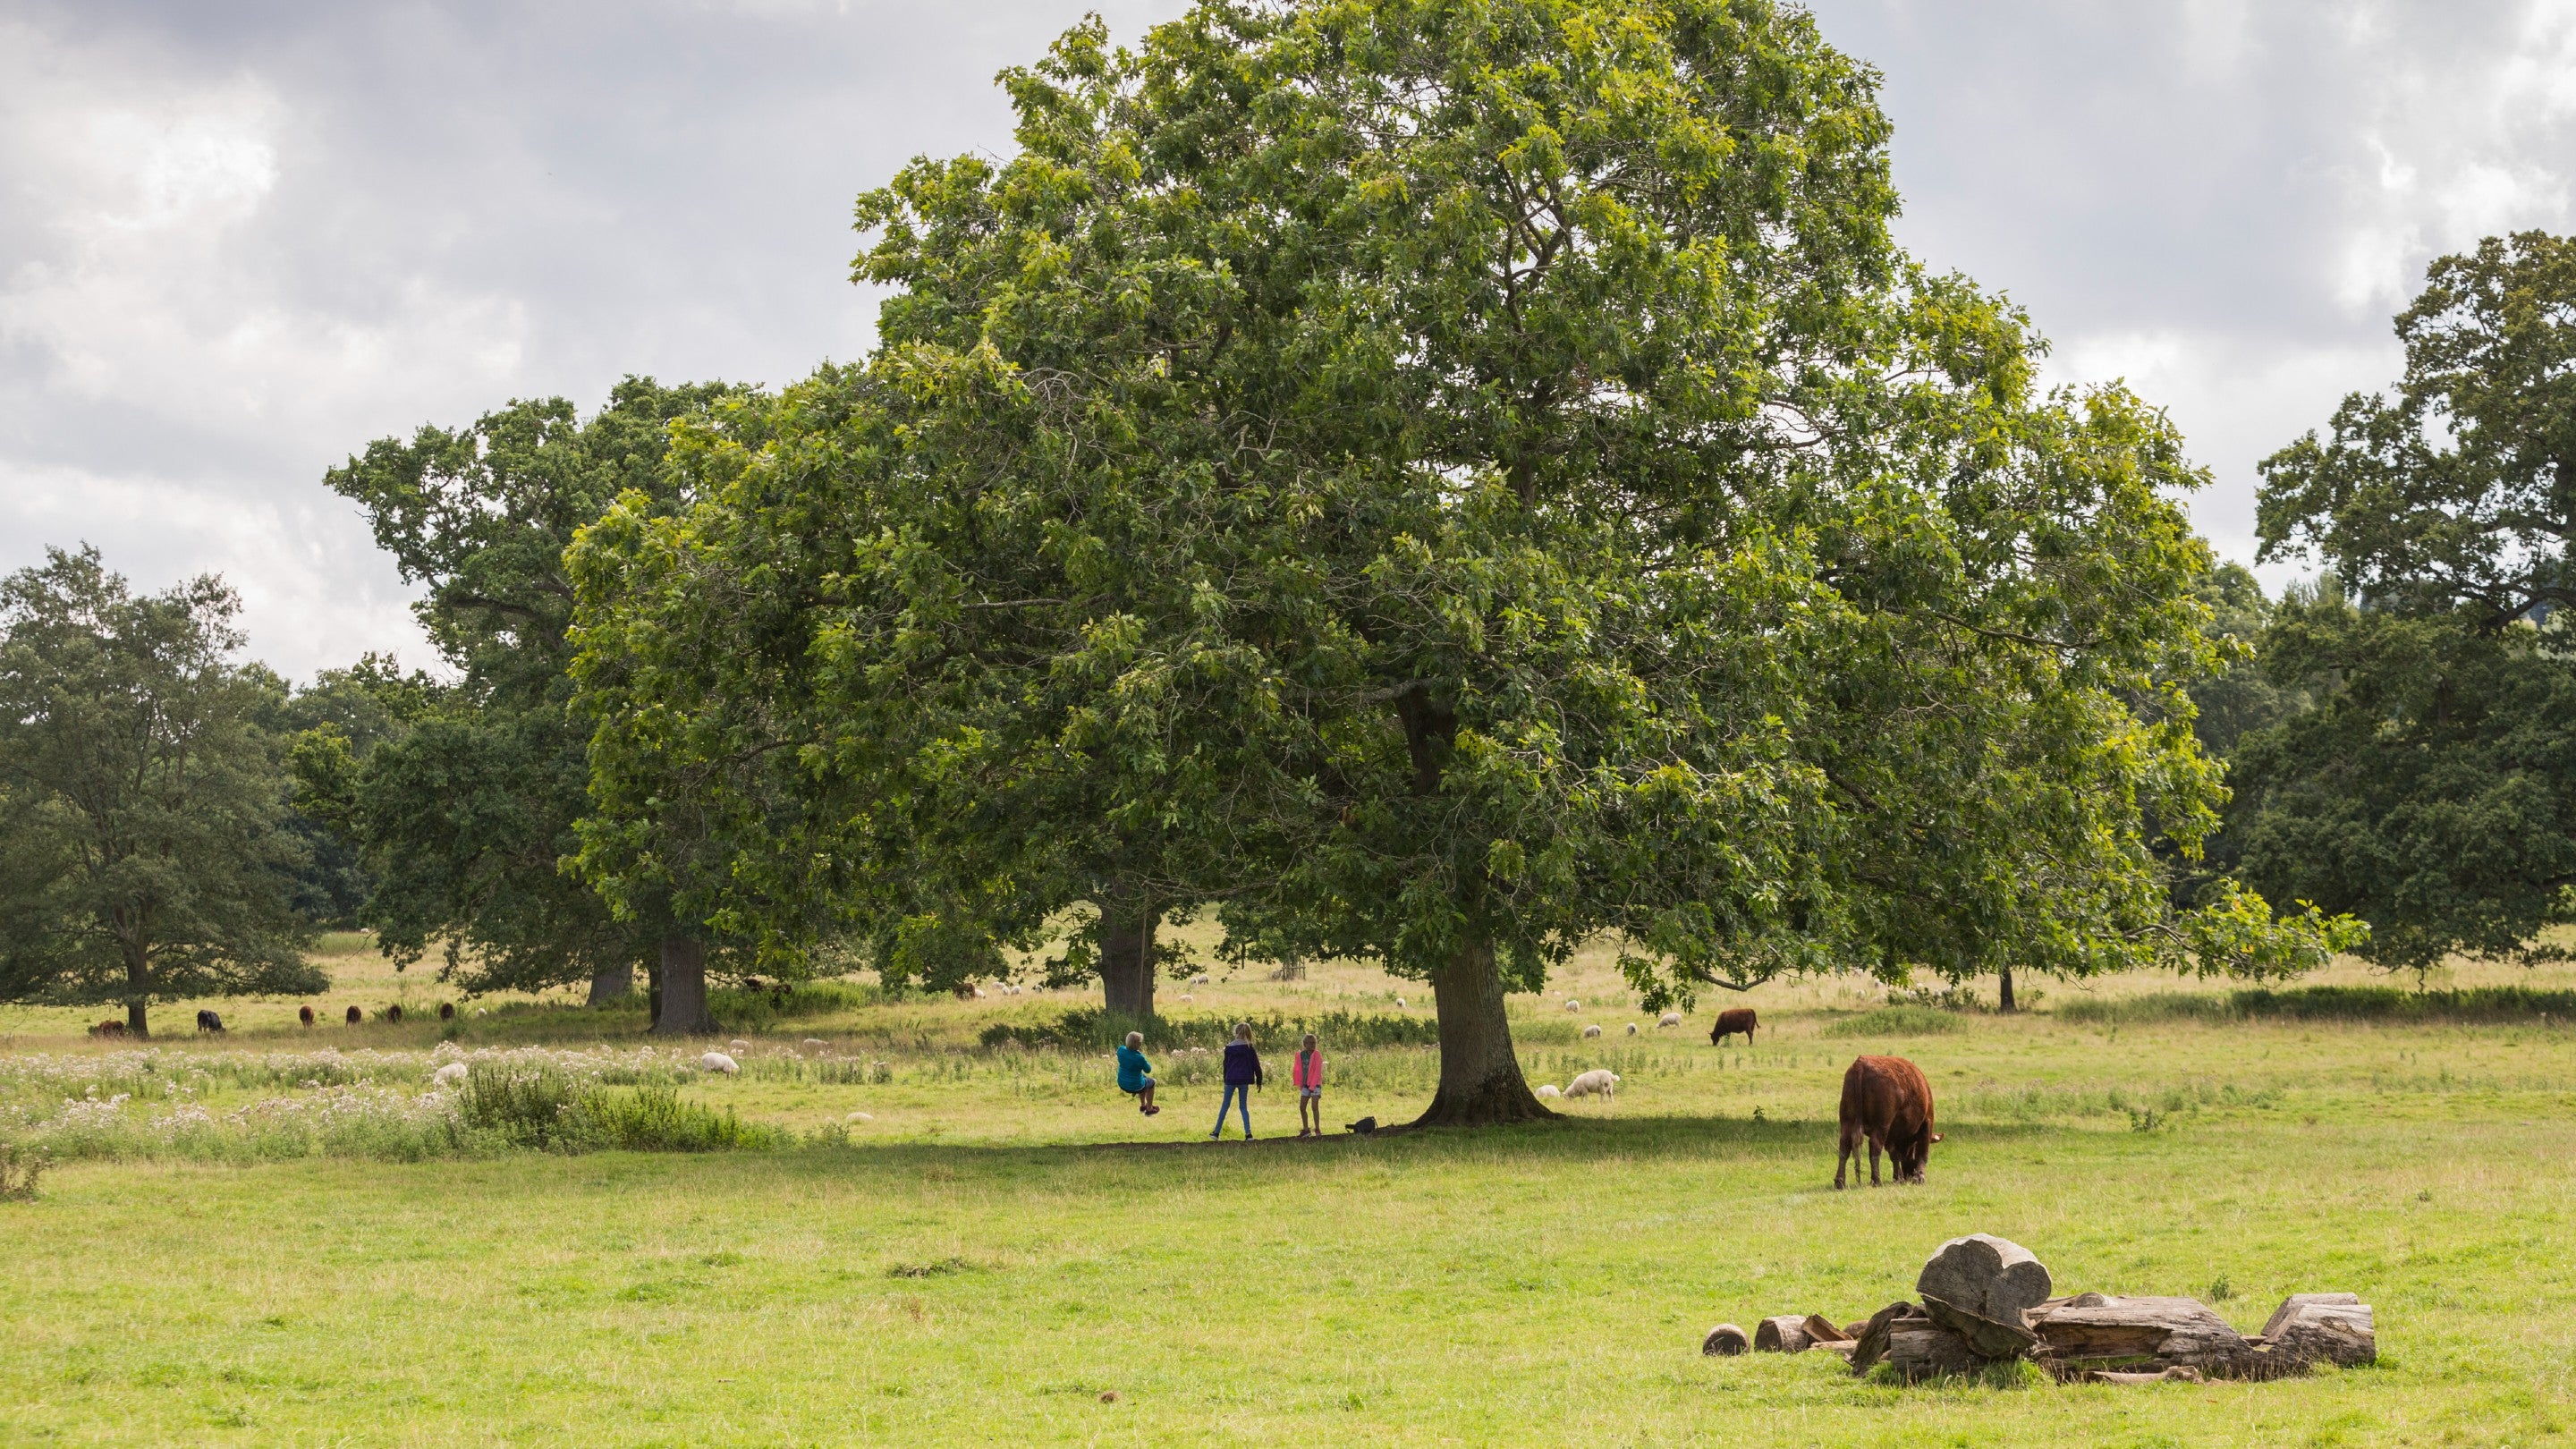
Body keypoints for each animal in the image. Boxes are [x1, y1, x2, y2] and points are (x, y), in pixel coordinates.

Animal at [1835, 1054, 1941, 1188]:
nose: (1908, 1174)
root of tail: (1861, 1064)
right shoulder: (1927, 1122)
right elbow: (1923, 1153)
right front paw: (1919, 1177)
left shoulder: (1892, 1136)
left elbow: (1894, 1155)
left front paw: (1898, 1177)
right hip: (1882, 1124)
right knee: (1875, 1146)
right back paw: (1876, 1180)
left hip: (1847, 1122)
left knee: (1844, 1146)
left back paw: (1840, 1182)